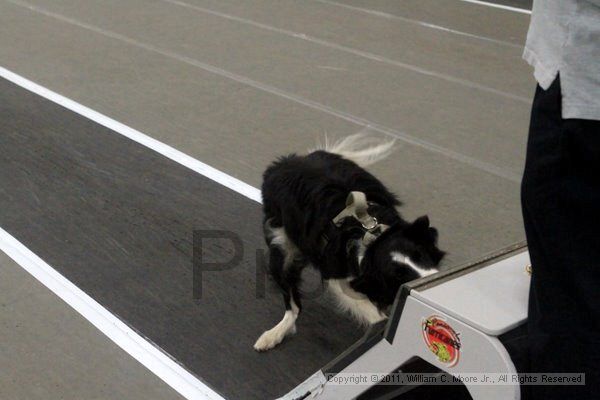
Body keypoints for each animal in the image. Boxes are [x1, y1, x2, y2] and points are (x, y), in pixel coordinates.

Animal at [253, 134, 446, 350]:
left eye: (420, 254)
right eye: (398, 276)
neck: (373, 236)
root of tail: (284, 162)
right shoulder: (339, 277)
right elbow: (376, 316)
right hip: (282, 245)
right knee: (292, 303)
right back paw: (273, 334)